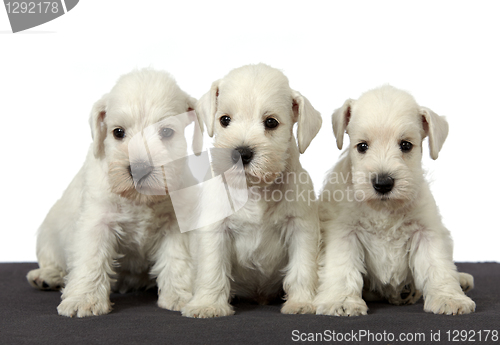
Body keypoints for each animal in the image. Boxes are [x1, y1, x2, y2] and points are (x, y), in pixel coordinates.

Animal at [26, 68, 202, 318]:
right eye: (118, 132)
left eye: (167, 132)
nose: (139, 169)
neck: (140, 200)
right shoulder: (97, 221)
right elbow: (91, 258)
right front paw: (84, 300)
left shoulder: (175, 223)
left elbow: (177, 259)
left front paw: (180, 296)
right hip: (48, 234)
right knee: (52, 261)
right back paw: (46, 276)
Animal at [182, 62, 322, 318]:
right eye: (224, 119)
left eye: (271, 122)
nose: (241, 152)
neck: (254, 189)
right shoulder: (215, 231)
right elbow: (212, 268)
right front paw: (208, 305)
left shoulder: (301, 228)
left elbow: (302, 268)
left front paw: (301, 302)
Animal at [314, 85, 474, 314]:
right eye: (362, 146)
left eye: (406, 145)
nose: (383, 183)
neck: (384, 209)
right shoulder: (343, 232)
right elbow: (342, 267)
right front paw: (341, 301)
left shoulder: (426, 231)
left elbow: (438, 265)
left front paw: (449, 298)